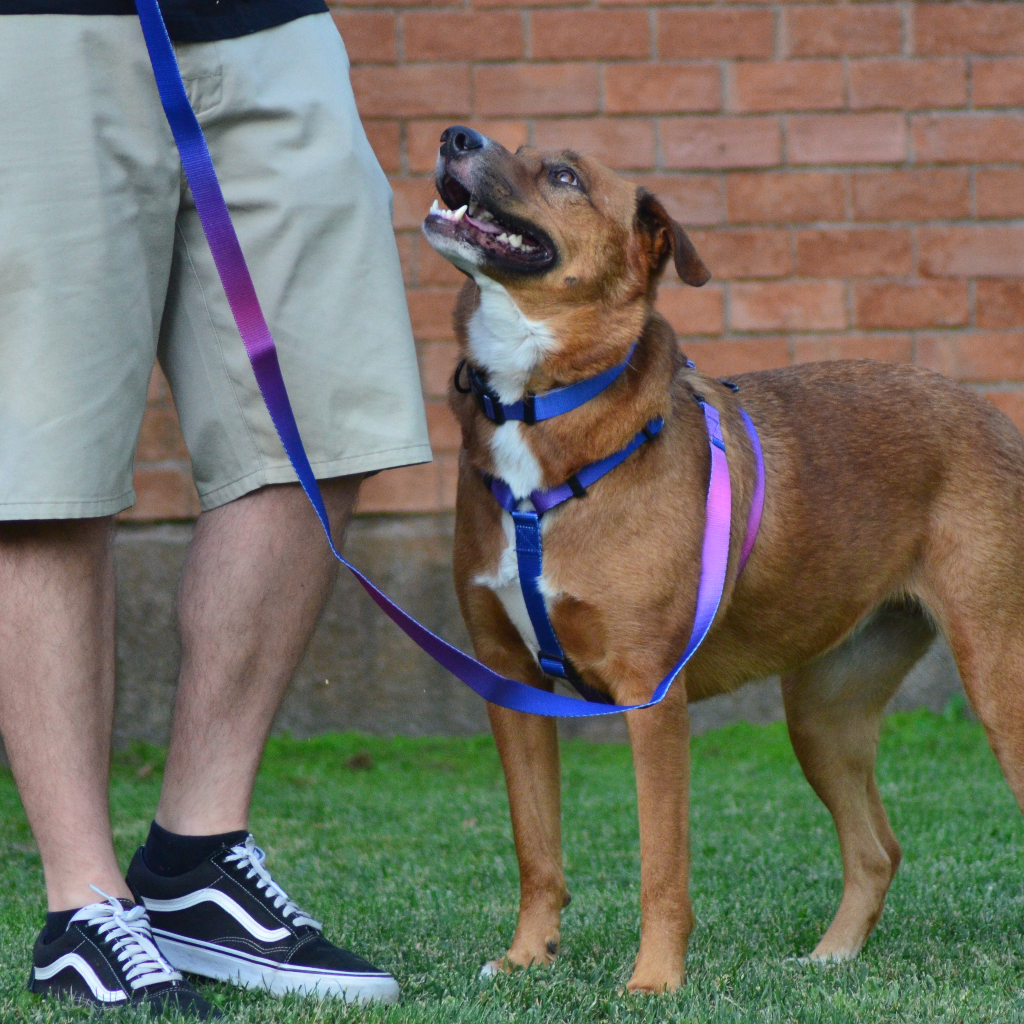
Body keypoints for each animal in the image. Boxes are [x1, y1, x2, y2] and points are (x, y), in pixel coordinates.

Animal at [417, 123, 1024, 987]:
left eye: (563, 175)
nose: (454, 135)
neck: (539, 406)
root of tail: (998, 419)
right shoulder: (512, 685)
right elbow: (537, 850)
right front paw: (528, 958)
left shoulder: (651, 697)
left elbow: (661, 865)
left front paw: (654, 981)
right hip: (824, 713)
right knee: (877, 849)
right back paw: (830, 958)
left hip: (999, 680)